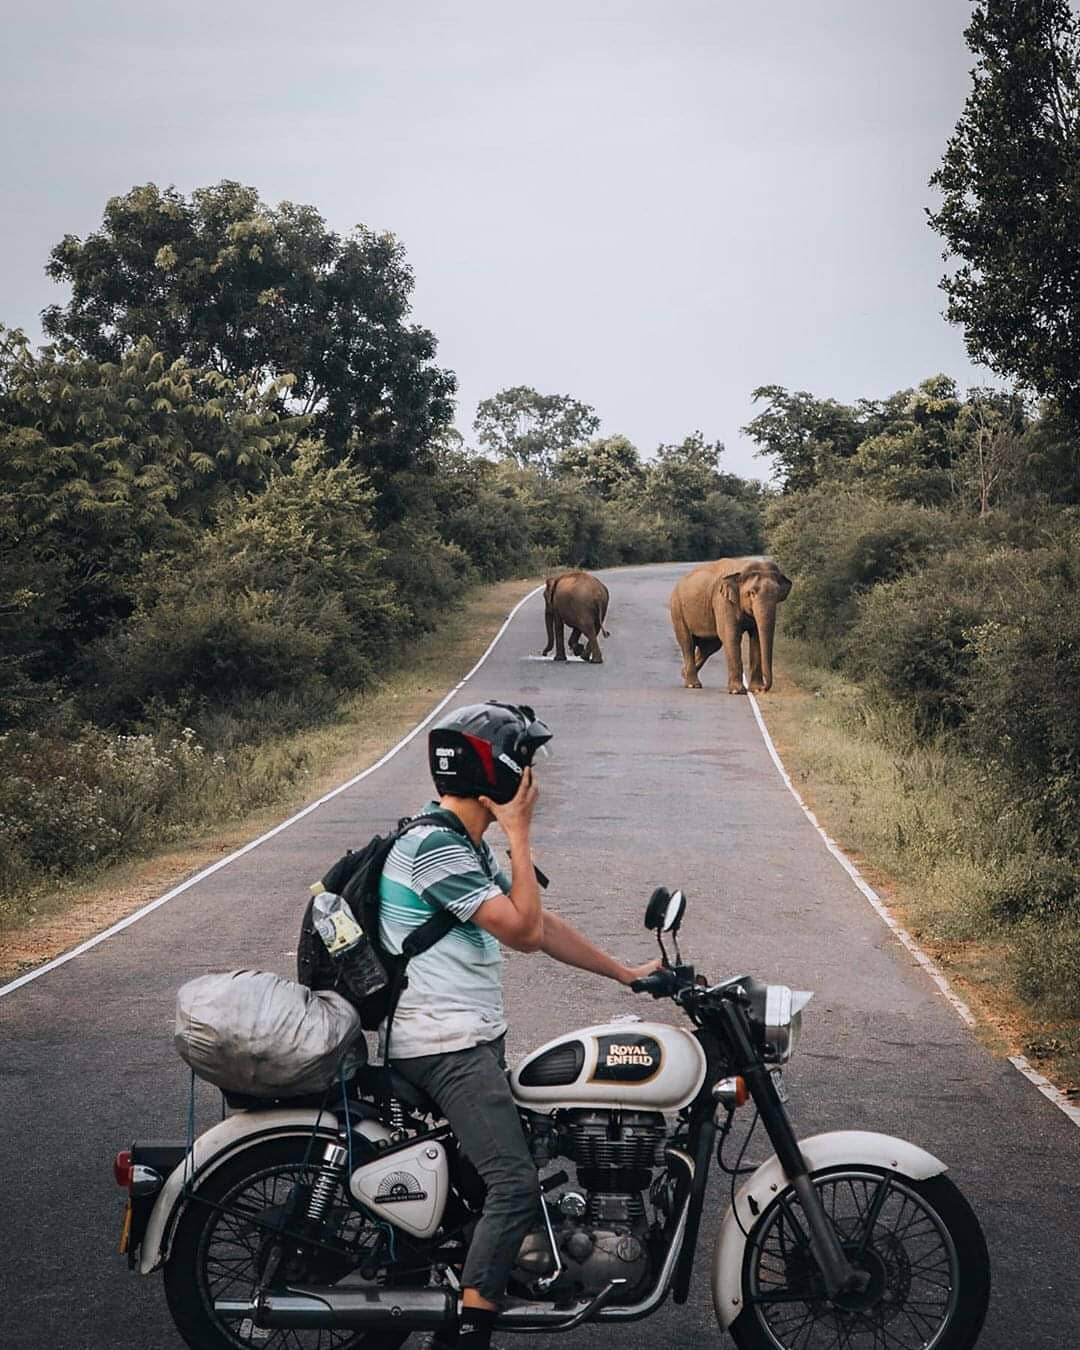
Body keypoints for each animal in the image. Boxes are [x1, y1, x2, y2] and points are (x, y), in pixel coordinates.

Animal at [666, 553, 793, 696]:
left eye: (778, 595)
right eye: (751, 593)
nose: (763, 689)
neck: (742, 568)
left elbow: (756, 638)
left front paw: (755, 688)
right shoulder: (723, 601)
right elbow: (730, 635)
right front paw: (737, 691)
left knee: (710, 646)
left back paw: (683, 673)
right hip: (677, 609)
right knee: (687, 642)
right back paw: (693, 685)